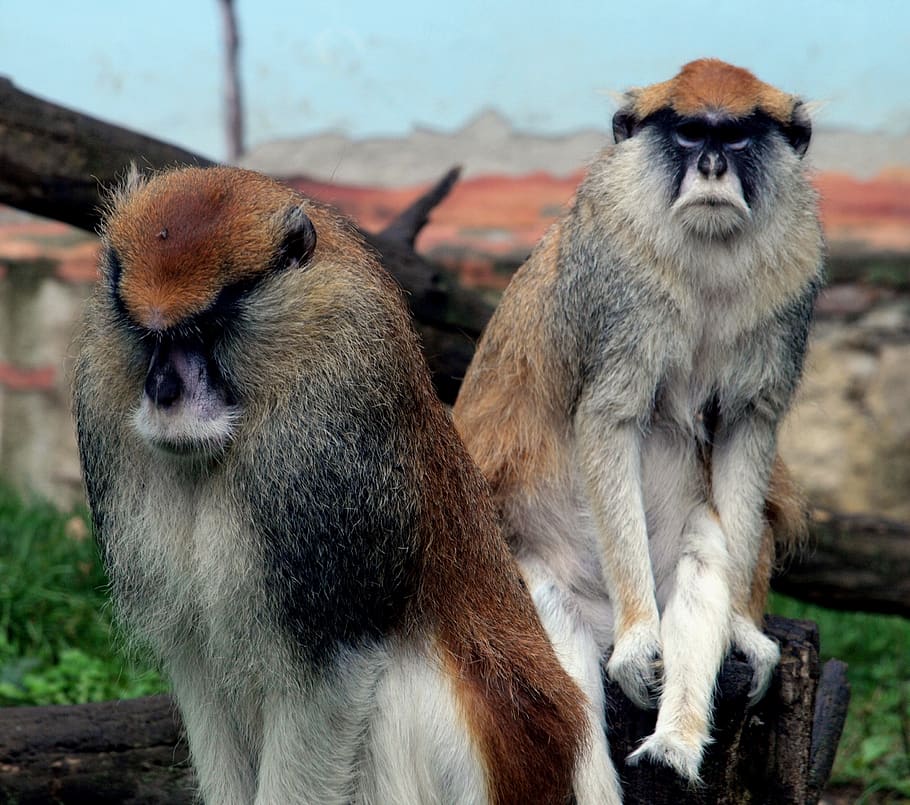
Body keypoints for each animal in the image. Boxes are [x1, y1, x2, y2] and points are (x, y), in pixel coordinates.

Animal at [72, 165, 590, 805]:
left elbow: (331, 671)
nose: (164, 391)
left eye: (208, 329)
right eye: (148, 336)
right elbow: (197, 664)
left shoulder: (326, 453)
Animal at [453, 58, 823, 787]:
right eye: (688, 133)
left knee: (705, 552)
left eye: (737, 136)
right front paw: (636, 641)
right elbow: (609, 419)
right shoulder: (620, 287)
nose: (711, 165)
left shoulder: (789, 288)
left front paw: (743, 629)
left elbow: (745, 429)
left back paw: (672, 746)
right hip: (523, 574)